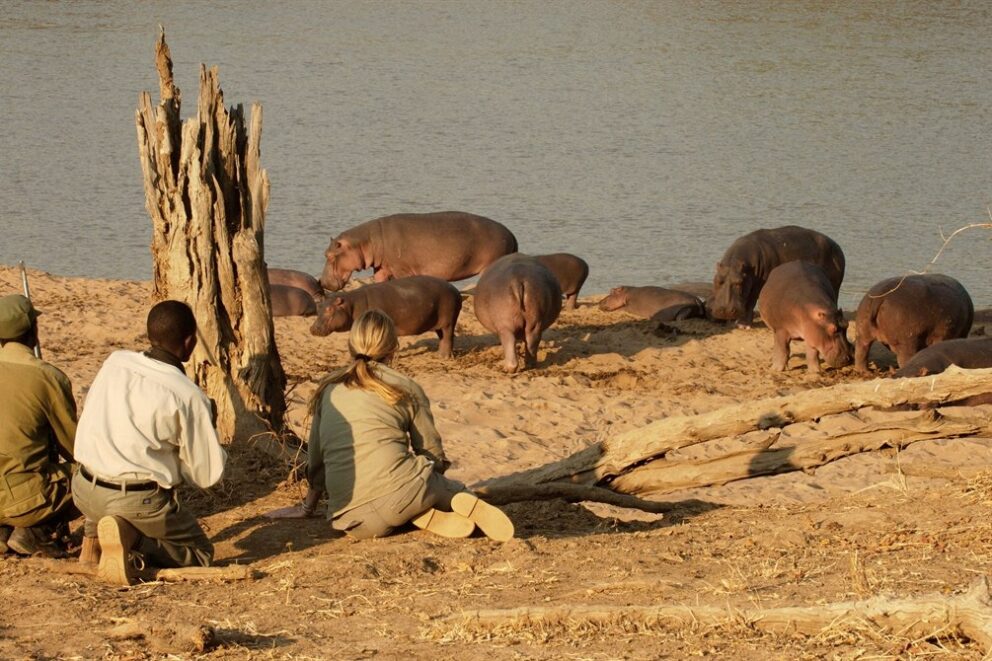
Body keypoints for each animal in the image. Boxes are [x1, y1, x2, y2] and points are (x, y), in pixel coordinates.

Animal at [310, 274, 462, 356]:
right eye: (319, 307)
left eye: (329, 309)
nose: (312, 329)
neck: (350, 305)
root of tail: (455, 290)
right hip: (438, 323)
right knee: (442, 337)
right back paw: (439, 354)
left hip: (449, 320)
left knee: (448, 336)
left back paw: (445, 357)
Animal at [320, 211, 520, 292]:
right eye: (325, 253)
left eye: (329, 255)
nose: (321, 282)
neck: (367, 241)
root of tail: (511, 234)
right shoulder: (383, 267)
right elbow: (379, 279)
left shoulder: (400, 268)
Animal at [704, 227, 844, 328]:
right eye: (717, 281)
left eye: (739, 282)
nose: (724, 310)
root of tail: (838, 247)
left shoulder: (757, 286)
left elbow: (750, 302)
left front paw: (743, 325)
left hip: (834, 285)